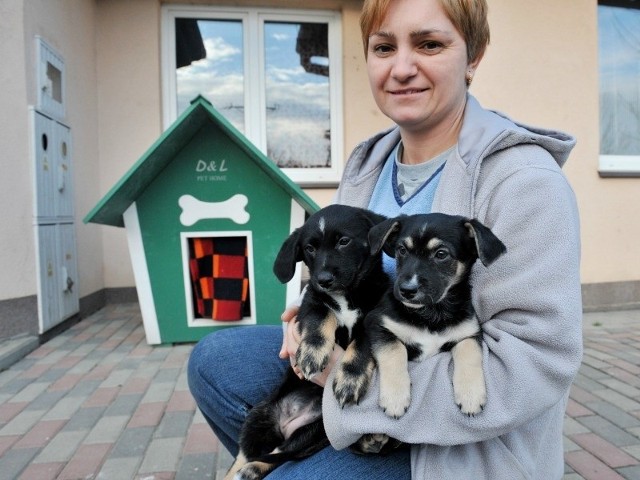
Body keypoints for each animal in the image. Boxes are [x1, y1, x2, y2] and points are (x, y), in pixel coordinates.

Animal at [225, 204, 390, 480]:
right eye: (310, 249)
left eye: (344, 241)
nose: (323, 280)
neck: (347, 295)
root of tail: (291, 419)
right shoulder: (311, 303)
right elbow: (321, 319)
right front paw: (311, 354)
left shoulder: (376, 318)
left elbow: (361, 345)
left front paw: (350, 380)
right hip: (258, 420)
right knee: (245, 456)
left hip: (317, 431)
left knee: (279, 453)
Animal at [336, 213, 504, 424]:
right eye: (402, 250)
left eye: (441, 254)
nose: (407, 290)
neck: (432, 313)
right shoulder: (377, 323)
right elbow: (395, 351)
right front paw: (395, 398)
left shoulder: (470, 332)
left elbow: (470, 353)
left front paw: (471, 395)